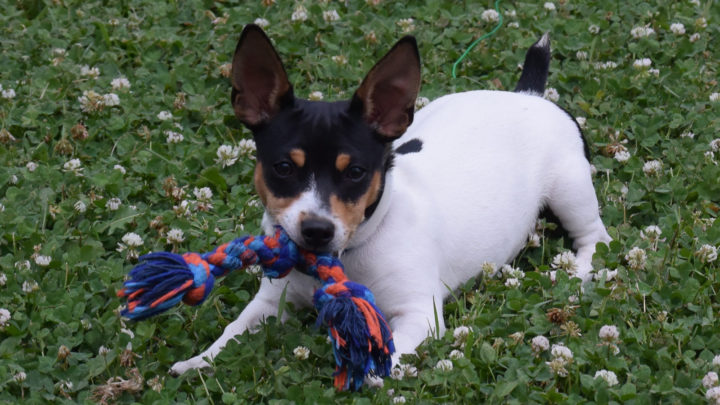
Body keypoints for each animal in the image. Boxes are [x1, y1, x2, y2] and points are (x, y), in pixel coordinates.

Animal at [167, 26, 608, 376]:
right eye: (283, 168)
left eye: (356, 172)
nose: (316, 231)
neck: (350, 252)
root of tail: (530, 94)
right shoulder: (273, 301)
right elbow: (233, 330)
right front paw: (199, 360)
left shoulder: (418, 314)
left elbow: (391, 353)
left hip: (570, 187)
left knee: (595, 237)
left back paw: (574, 271)